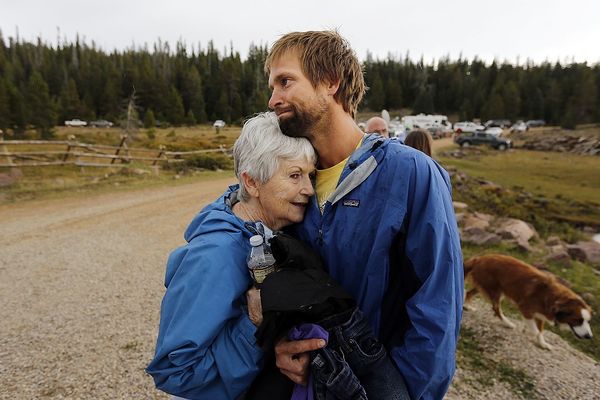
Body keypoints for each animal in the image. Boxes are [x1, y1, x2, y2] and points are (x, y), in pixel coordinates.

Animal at [464, 255, 592, 348]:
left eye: (587, 320)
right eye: (578, 320)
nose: (589, 336)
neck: (553, 297)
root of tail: (480, 258)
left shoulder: (541, 315)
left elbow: (540, 331)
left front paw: (542, 343)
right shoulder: (525, 308)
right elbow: (535, 330)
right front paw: (530, 332)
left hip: (485, 286)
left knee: (468, 293)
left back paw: (467, 306)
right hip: (495, 291)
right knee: (496, 308)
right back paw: (507, 323)